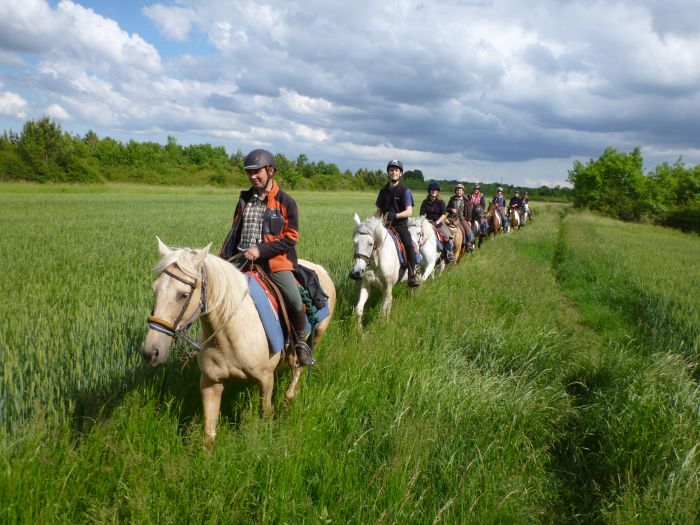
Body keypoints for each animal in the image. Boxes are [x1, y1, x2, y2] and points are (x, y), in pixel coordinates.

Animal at [142, 238, 336, 446]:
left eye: (183, 295)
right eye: (154, 290)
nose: (151, 352)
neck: (229, 334)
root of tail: (321, 269)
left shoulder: (266, 380)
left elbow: (266, 414)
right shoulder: (210, 382)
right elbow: (209, 434)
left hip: (316, 335)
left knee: (300, 366)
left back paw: (289, 396)